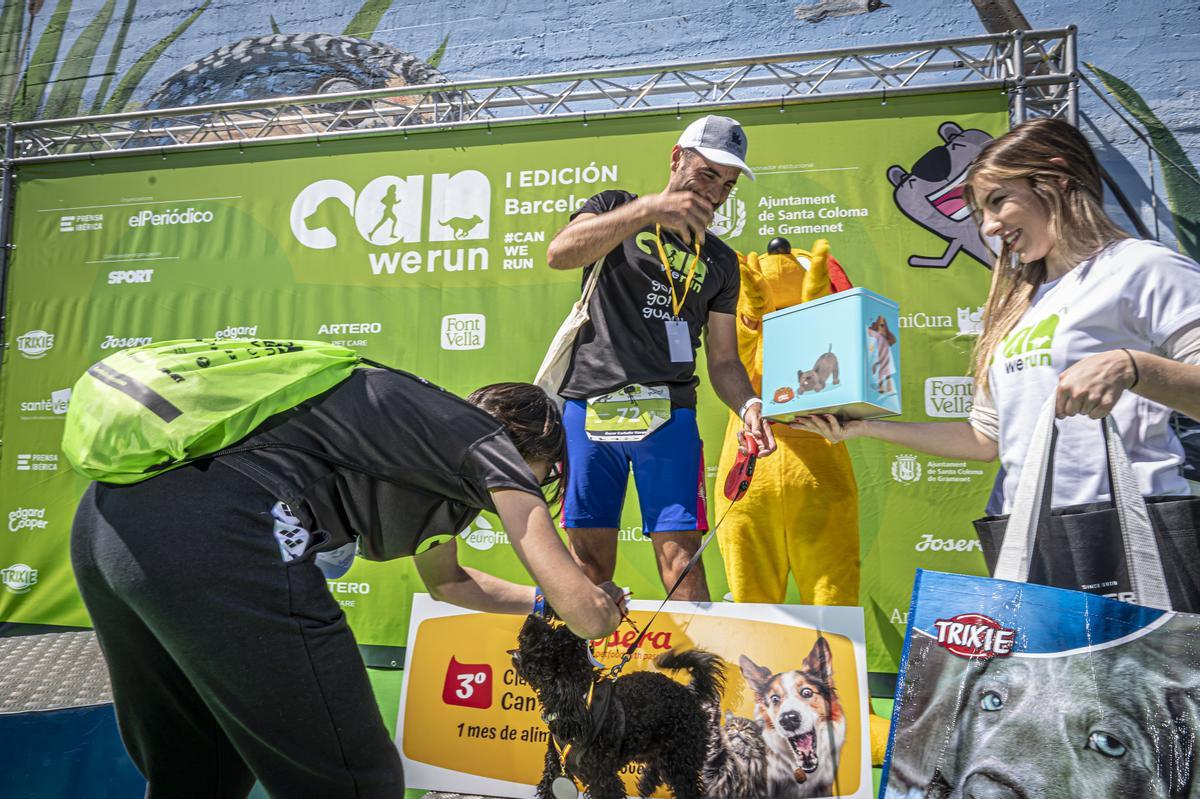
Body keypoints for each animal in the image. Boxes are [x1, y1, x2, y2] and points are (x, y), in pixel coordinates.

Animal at [513, 611, 724, 791]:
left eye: (549, 637)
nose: (531, 616)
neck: (580, 704)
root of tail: (691, 693)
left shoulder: (602, 779)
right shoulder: (555, 768)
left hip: (681, 761)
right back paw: (645, 786)